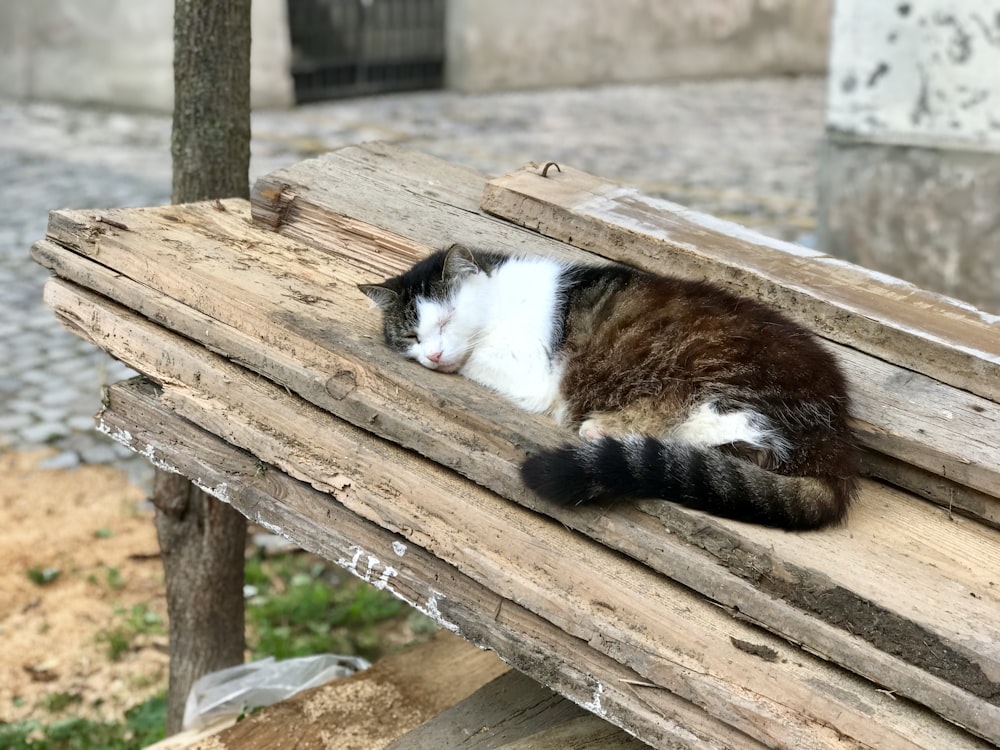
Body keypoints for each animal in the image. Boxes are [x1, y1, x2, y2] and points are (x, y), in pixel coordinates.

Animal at [360, 245, 860, 528]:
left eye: (446, 320)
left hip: (720, 382)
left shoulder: (530, 371)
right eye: (411, 336)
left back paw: (608, 428)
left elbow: (477, 361)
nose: (432, 355)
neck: (499, 297)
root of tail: (839, 442)